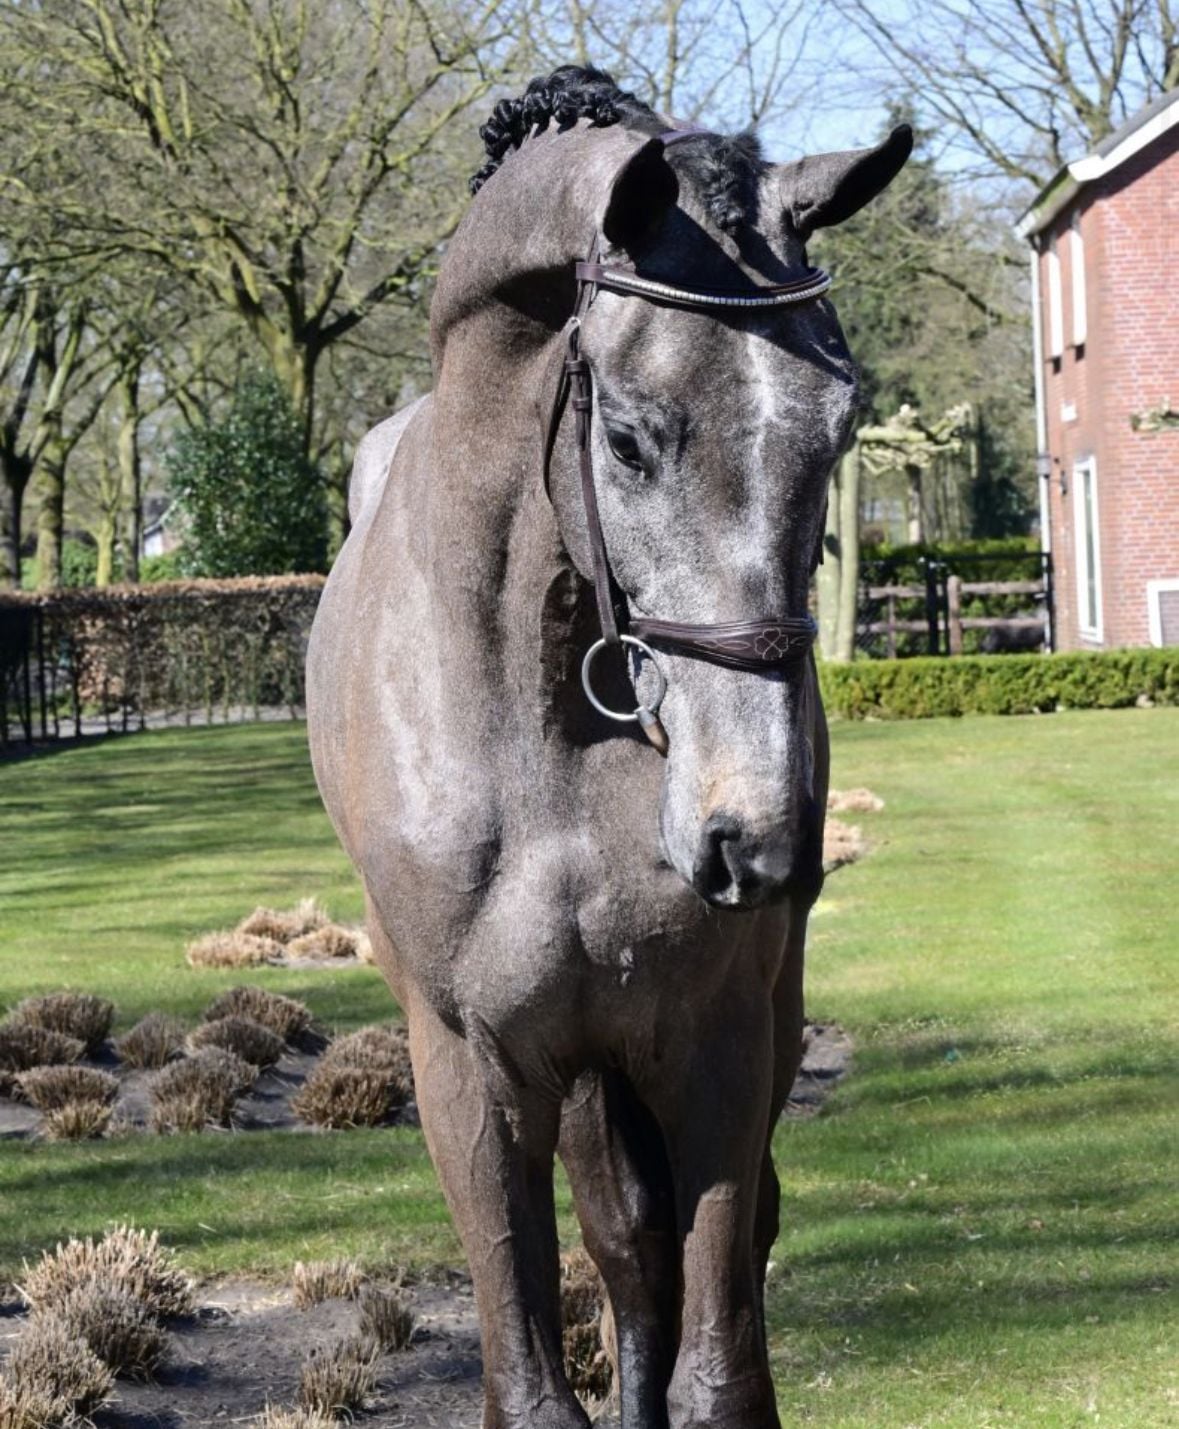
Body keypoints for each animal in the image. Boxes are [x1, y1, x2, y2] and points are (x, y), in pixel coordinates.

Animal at [307, 65, 910, 1429]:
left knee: (649, 1251)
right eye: (628, 435)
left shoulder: (721, 1042)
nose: (755, 836)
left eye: (838, 427)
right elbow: (536, 1375)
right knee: (622, 1246)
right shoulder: (472, 1067)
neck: (540, 724)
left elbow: (718, 1359)